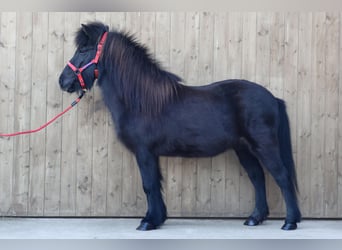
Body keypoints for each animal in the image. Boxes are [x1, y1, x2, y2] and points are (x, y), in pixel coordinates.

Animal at [59, 21, 302, 230]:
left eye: (83, 50)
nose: (63, 81)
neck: (140, 100)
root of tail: (273, 98)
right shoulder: (151, 154)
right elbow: (155, 183)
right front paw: (157, 218)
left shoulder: (144, 152)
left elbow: (148, 185)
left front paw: (148, 222)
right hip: (243, 149)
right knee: (257, 177)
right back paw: (255, 218)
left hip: (264, 145)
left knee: (281, 176)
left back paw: (290, 222)